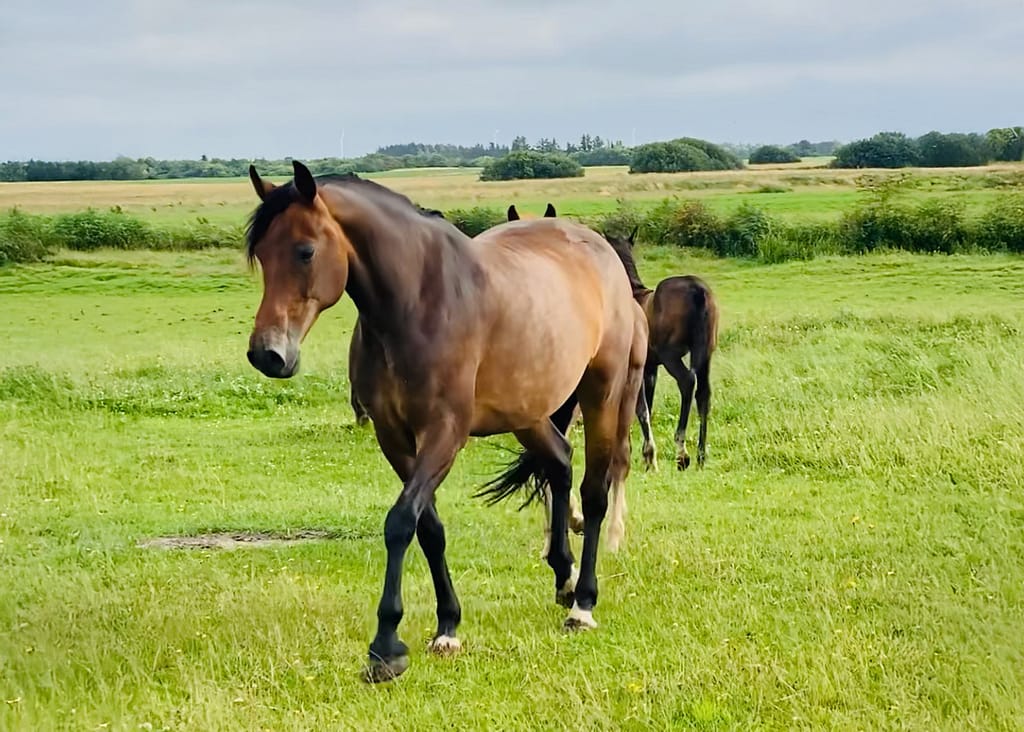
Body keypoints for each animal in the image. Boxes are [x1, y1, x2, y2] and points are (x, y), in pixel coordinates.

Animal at [245, 161, 647, 683]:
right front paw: (447, 627)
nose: (267, 354)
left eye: (305, 251)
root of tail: (595, 245)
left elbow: (400, 522)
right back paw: (564, 576)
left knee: (594, 491)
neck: (416, 305)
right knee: (559, 464)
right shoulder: (395, 439)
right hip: (528, 411)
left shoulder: (445, 433)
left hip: (605, 393)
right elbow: (428, 528)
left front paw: (386, 646)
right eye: (260, 255)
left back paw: (582, 604)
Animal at [604, 228, 718, 471]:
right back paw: (701, 456)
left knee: (687, 382)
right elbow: (647, 404)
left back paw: (682, 451)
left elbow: (639, 408)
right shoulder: (650, 368)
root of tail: (698, 290)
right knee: (704, 394)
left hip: (671, 355)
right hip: (705, 353)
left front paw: (647, 456)